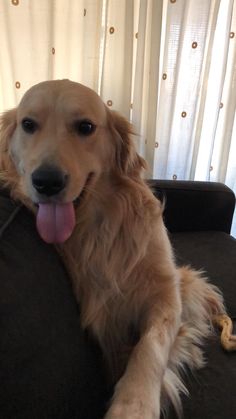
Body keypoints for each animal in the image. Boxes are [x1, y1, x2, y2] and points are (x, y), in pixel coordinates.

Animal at [0, 80, 225, 418]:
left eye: (86, 127)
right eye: (28, 124)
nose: (47, 182)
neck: (99, 227)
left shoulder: (166, 293)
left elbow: (150, 346)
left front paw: (134, 404)